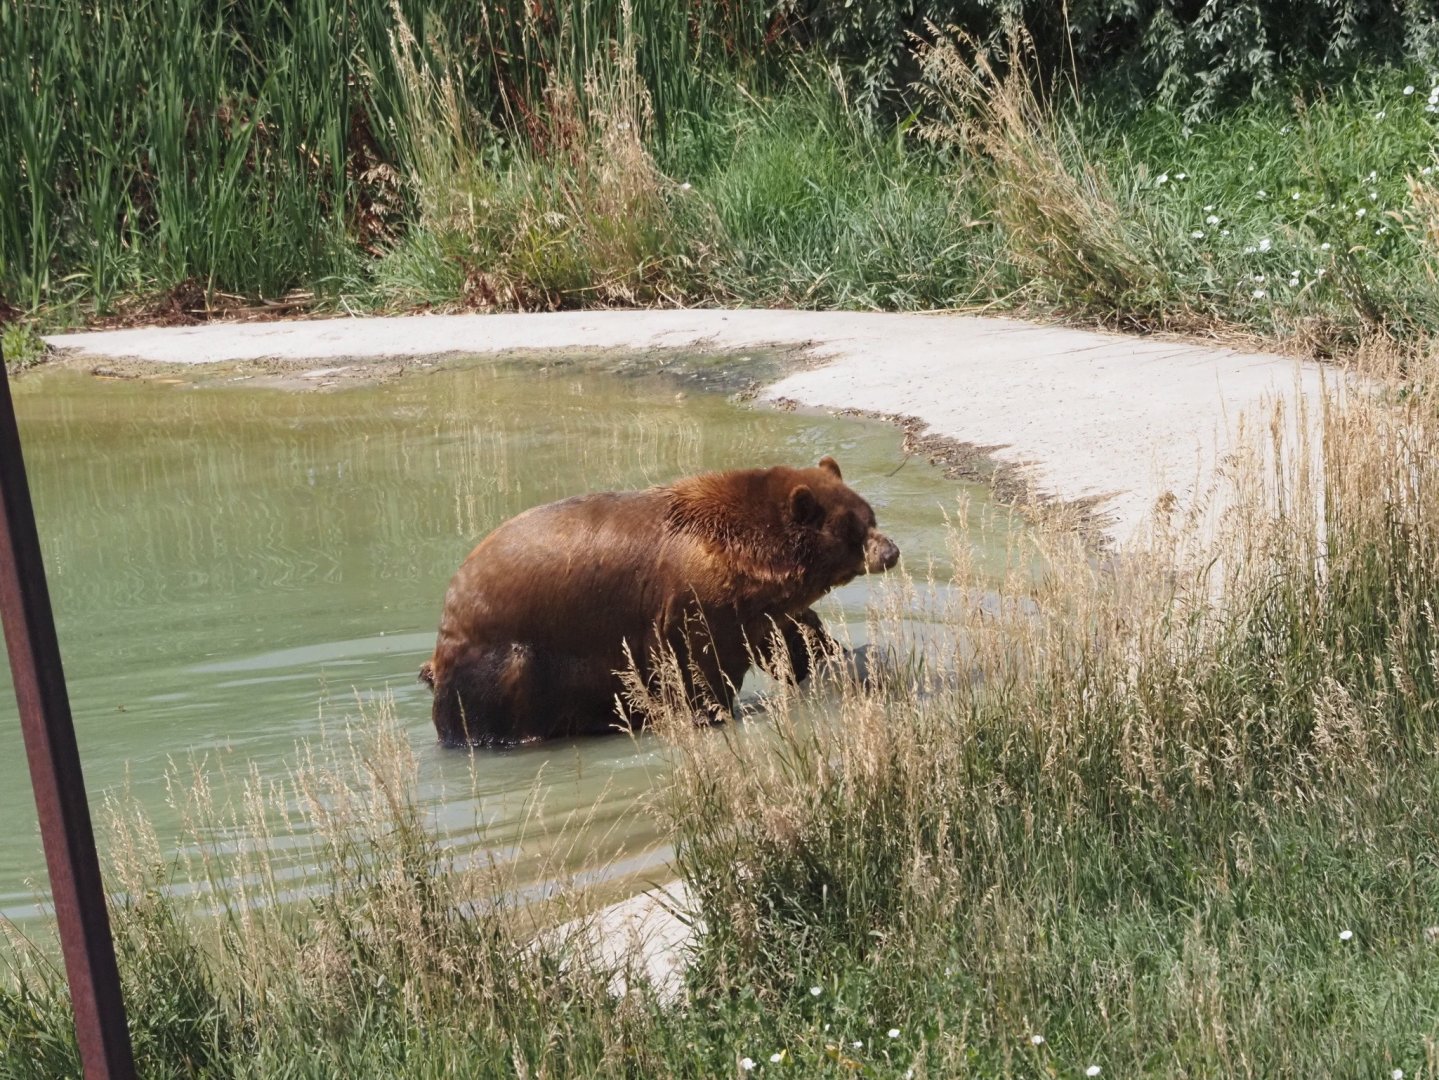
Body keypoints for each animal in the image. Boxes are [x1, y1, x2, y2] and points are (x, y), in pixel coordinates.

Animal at [421, 456, 899, 746]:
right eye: (852, 530)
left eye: (869, 515)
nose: (891, 550)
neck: (750, 562)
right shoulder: (693, 605)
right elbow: (698, 668)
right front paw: (709, 713)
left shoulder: (755, 612)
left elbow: (793, 638)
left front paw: (840, 656)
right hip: (510, 662)